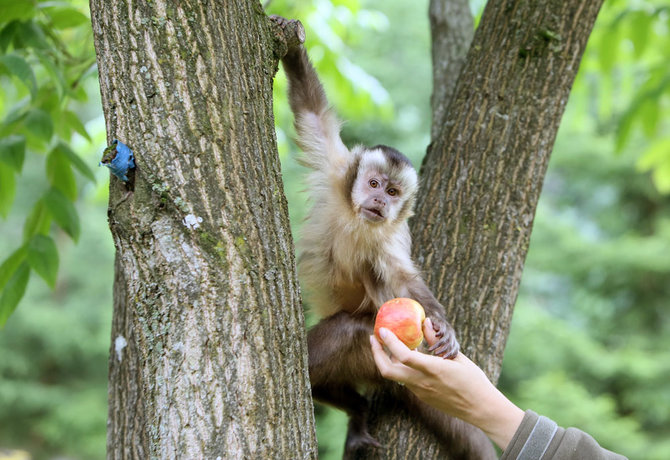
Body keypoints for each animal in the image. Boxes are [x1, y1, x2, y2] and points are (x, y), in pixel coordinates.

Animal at [272, 16, 498, 458]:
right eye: (374, 183)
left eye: (393, 192)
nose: (378, 200)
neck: (359, 220)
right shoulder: (336, 170)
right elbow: (312, 113)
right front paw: (292, 45)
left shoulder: (391, 238)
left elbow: (402, 280)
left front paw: (442, 325)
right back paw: (357, 412)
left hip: (367, 350)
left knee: (338, 340)